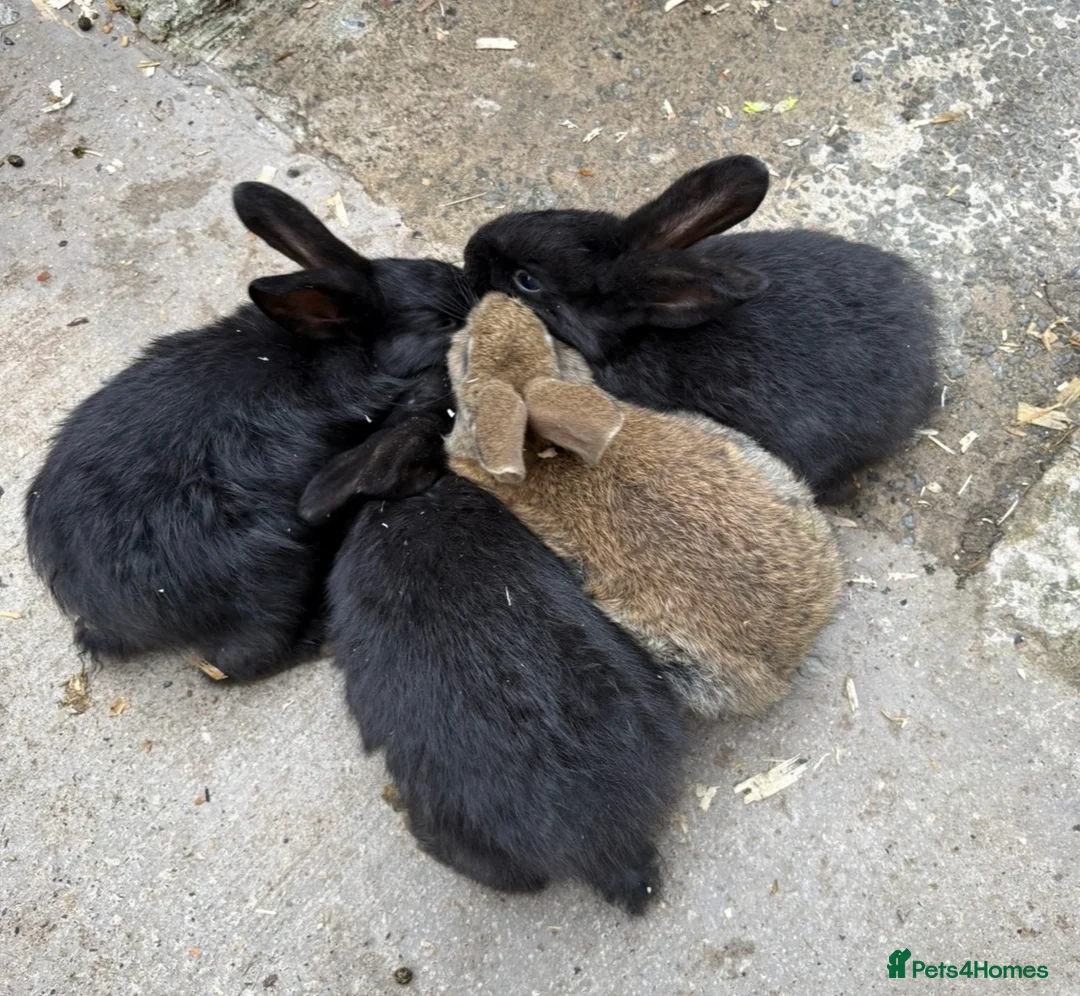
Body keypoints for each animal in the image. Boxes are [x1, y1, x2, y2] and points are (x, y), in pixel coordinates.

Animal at [24, 181, 472, 680]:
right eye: (441, 321)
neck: (341, 352)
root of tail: (101, 614)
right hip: (273, 572)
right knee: (240, 661)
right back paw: (317, 633)